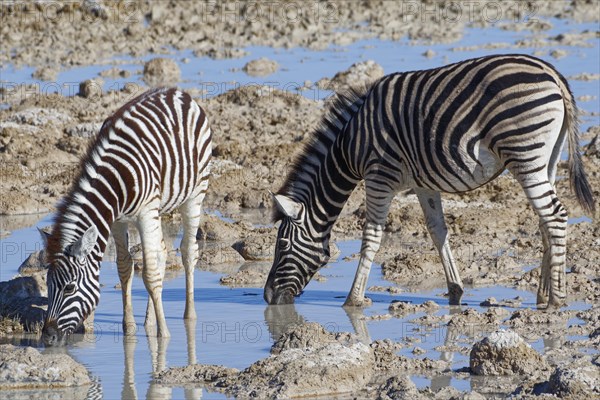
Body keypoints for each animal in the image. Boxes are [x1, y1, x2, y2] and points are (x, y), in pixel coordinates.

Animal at [41, 89, 212, 346]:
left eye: (69, 288)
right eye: (47, 285)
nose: (47, 337)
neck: (115, 178)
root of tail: (176, 92)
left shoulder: (145, 213)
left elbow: (149, 274)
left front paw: (163, 334)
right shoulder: (117, 220)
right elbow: (125, 266)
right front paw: (129, 327)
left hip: (194, 194)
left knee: (187, 251)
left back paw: (188, 315)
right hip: (158, 210)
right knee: (161, 253)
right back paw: (149, 321)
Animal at [266, 54, 596, 310]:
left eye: (282, 244)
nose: (268, 296)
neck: (349, 146)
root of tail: (553, 74)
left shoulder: (379, 176)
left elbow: (371, 236)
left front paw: (354, 299)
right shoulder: (423, 183)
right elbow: (438, 231)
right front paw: (455, 290)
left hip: (525, 154)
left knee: (555, 215)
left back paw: (556, 299)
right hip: (546, 158)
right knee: (544, 220)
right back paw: (542, 294)